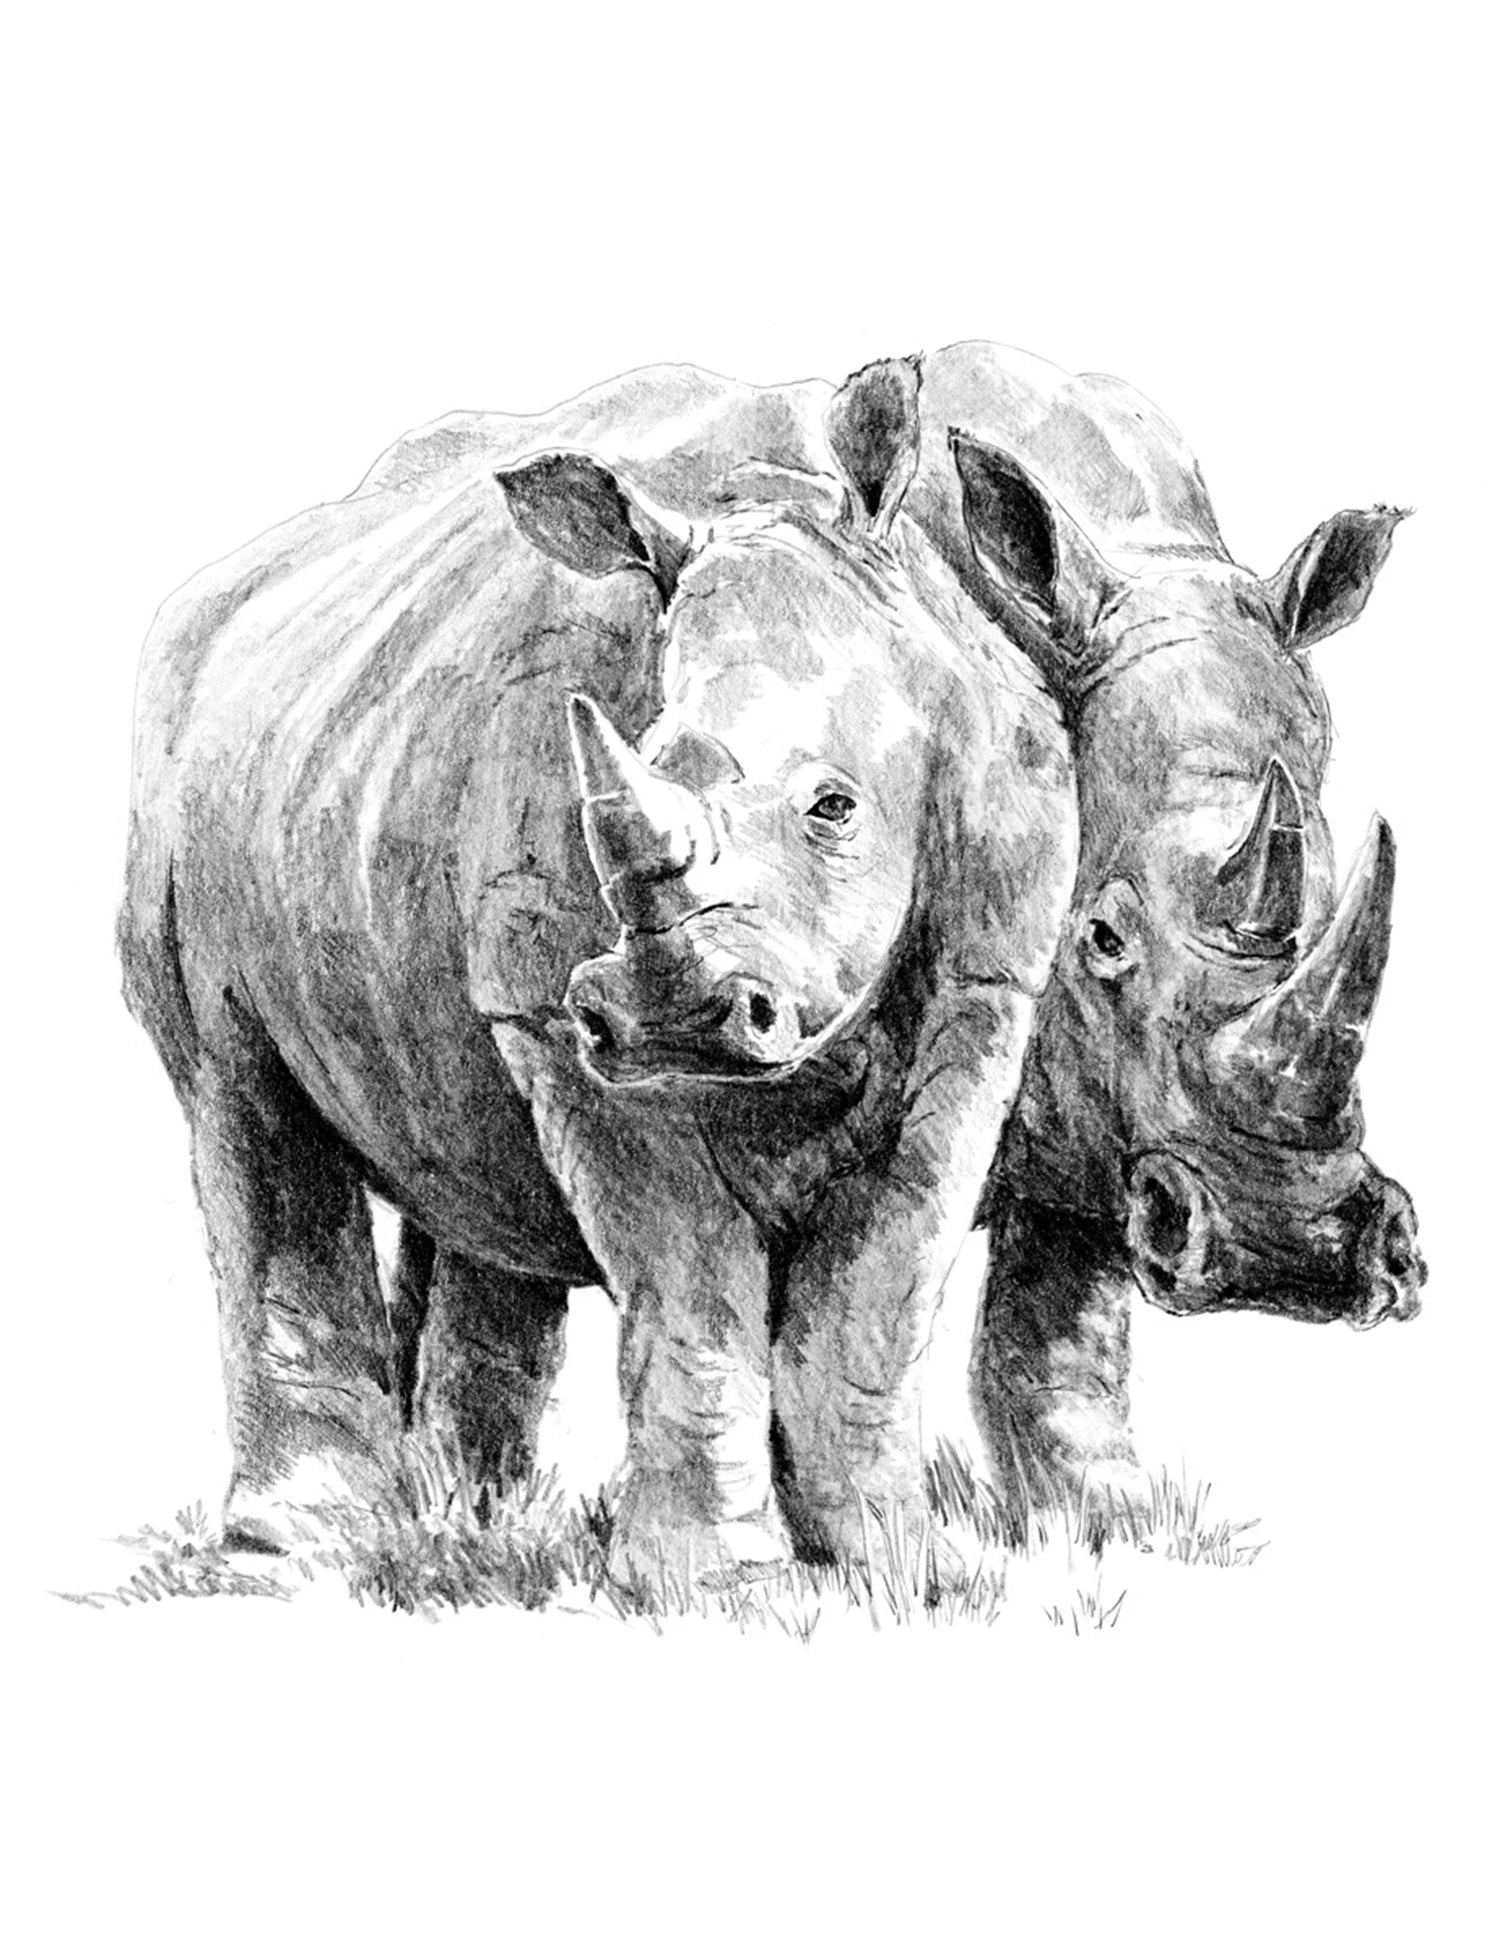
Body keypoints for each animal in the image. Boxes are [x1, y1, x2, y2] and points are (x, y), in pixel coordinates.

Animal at [119, 358, 1075, 1583]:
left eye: (834, 807)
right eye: (622, 778)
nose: (675, 1020)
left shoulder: (989, 978)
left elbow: (874, 1294)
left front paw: (897, 1569)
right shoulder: (551, 1014)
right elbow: (689, 1284)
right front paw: (718, 1588)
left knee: (454, 1162)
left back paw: (469, 1527)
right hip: (184, 797)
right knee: (240, 1094)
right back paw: (301, 1553)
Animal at [895, 340, 1425, 1516]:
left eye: (1334, 902)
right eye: (1099, 938)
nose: (1294, 1254)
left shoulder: (1095, 1117)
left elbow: (1055, 1340)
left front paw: (1104, 1524)